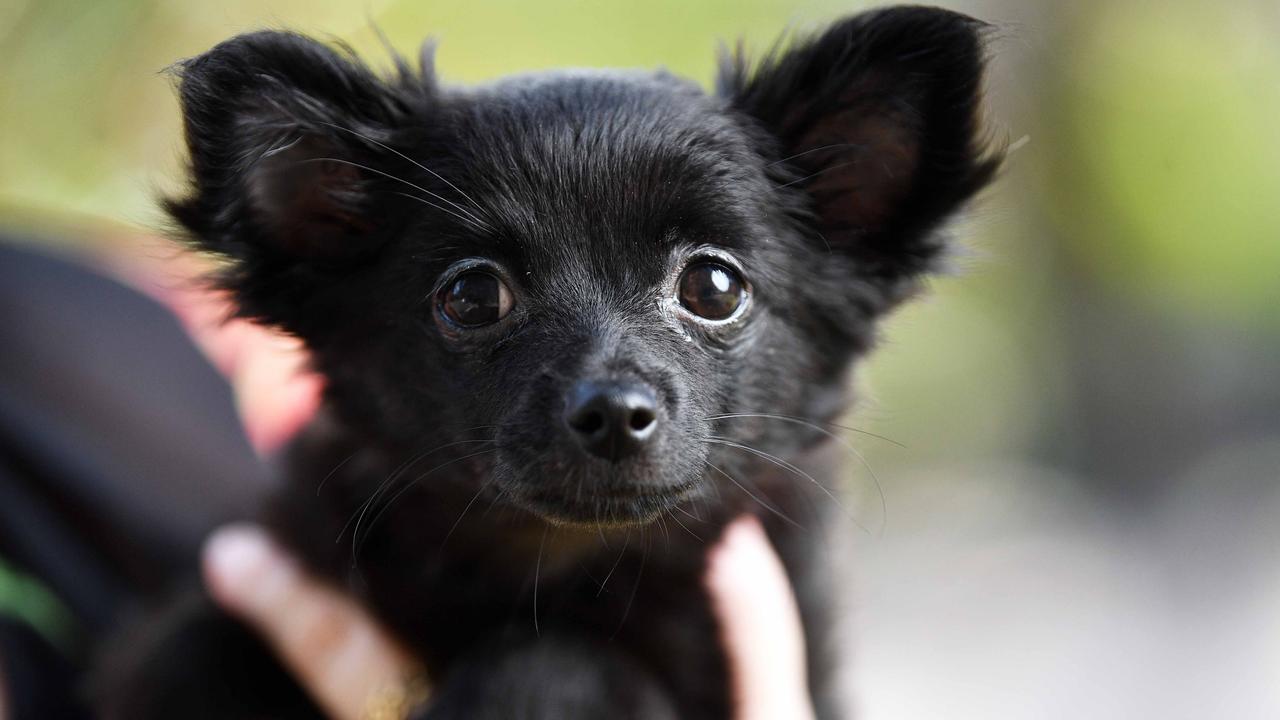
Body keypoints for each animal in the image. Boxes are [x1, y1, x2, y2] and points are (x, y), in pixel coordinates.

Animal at [99, 7, 998, 717]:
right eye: (471, 297)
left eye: (713, 287)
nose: (613, 414)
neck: (548, 564)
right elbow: (186, 647)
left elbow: (554, 661)